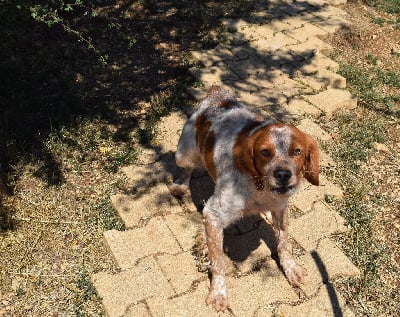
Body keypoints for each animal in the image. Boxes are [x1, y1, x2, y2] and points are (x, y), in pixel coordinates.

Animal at [169, 86, 318, 312]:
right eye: (265, 152)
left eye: (297, 151)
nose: (283, 174)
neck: (260, 189)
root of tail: (218, 94)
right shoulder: (213, 215)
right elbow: (219, 262)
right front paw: (218, 293)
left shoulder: (281, 207)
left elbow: (284, 242)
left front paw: (291, 268)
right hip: (183, 154)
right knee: (187, 168)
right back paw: (181, 185)